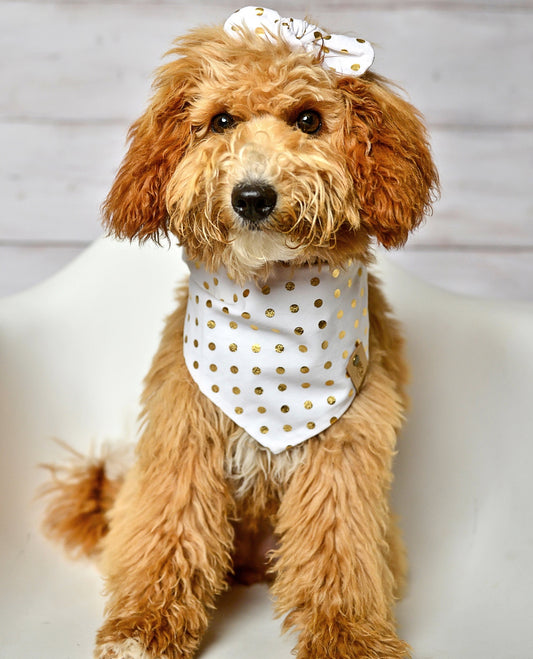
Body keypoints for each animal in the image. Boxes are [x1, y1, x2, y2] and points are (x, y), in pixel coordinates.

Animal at [41, 6, 436, 659]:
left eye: (309, 119)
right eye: (221, 121)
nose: (253, 196)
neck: (273, 321)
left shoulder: (346, 456)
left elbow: (340, 550)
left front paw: (349, 637)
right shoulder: (183, 437)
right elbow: (171, 531)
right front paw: (142, 628)